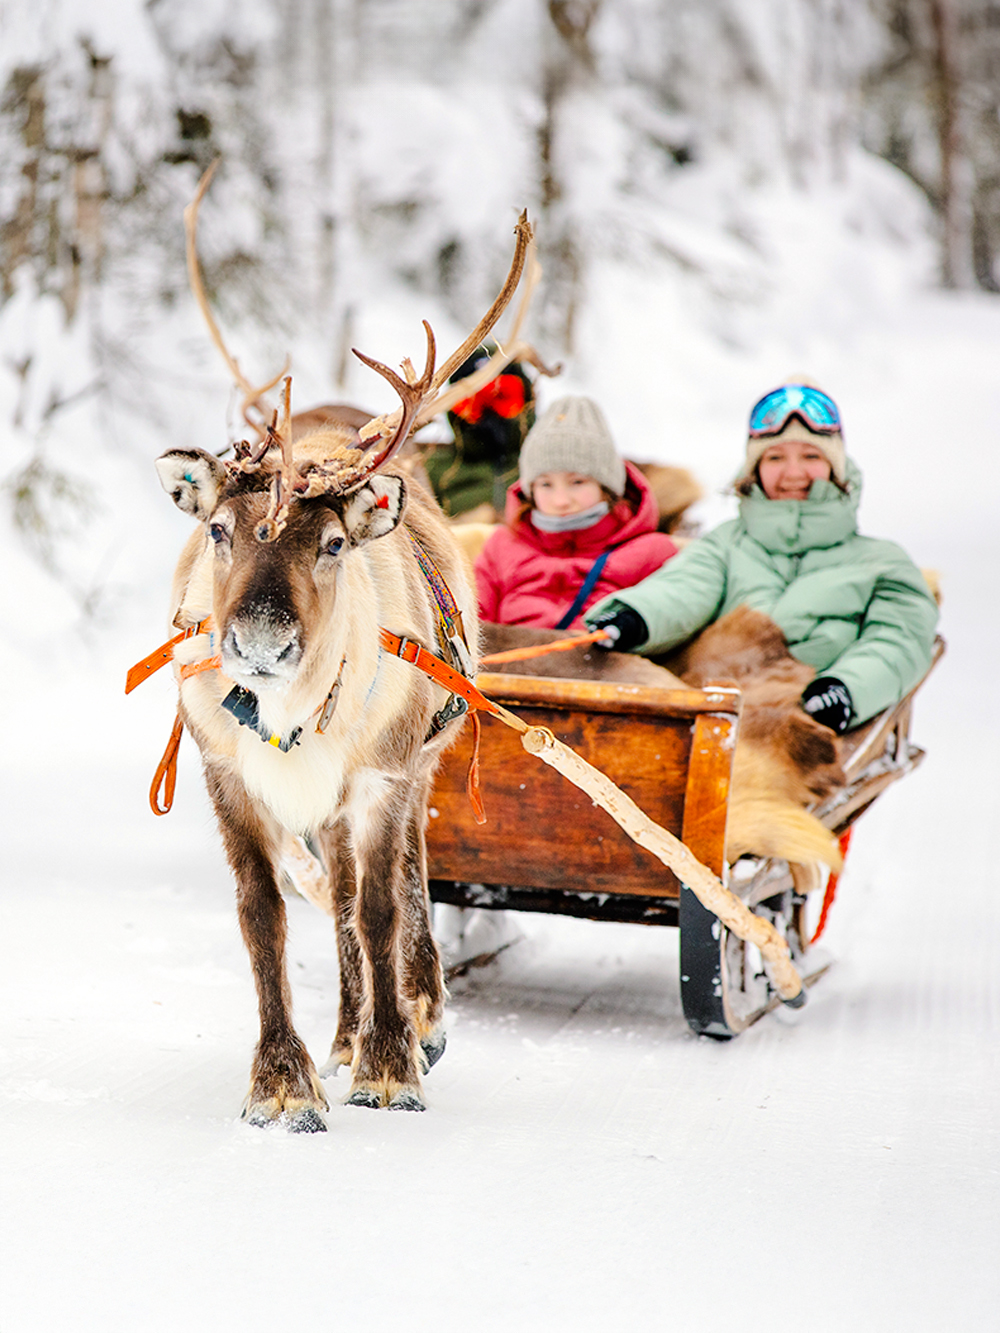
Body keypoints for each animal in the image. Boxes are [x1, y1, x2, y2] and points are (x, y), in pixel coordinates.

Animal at [154, 167, 539, 1131]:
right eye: (219, 529)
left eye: (329, 544)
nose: (259, 637)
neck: (292, 718)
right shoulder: (228, 776)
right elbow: (265, 915)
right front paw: (285, 1080)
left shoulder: (382, 774)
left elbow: (379, 906)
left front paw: (392, 1062)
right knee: (329, 897)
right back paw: (340, 1029)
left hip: (424, 760)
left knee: (406, 879)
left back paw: (421, 1012)